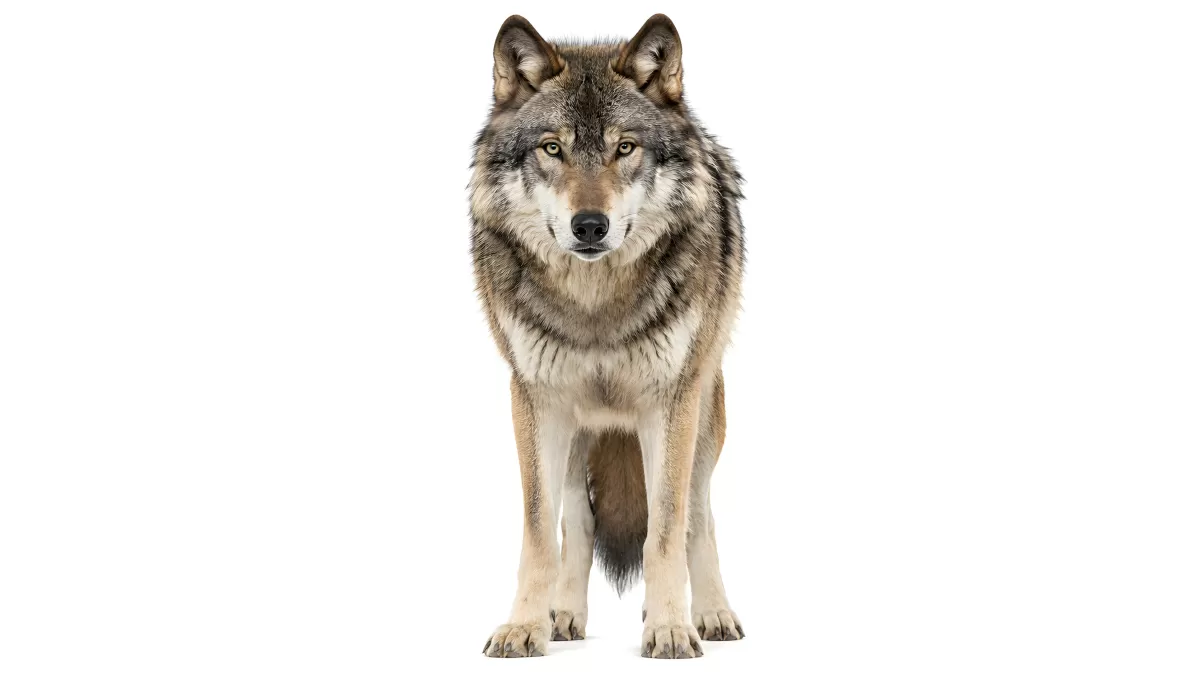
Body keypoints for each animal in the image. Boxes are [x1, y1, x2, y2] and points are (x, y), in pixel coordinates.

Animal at [470, 14, 746, 659]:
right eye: (553, 148)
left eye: (625, 147)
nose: (590, 226)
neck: (595, 304)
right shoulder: (534, 399)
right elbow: (540, 530)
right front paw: (524, 626)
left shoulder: (670, 402)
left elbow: (665, 529)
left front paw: (669, 628)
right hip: (578, 429)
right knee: (579, 519)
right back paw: (563, 615)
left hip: (704, 414)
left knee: (698, 515)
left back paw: (711, 614)